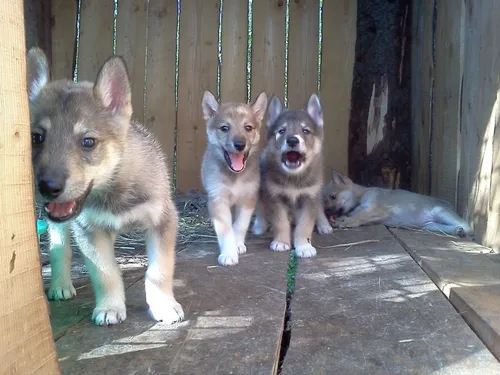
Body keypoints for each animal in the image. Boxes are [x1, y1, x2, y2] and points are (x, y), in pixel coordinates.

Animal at [26, 48, 185, 328]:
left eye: (88, 142)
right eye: (36, 137)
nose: (48, 186)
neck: (114, 190)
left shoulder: (162, 221)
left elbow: (159, 271)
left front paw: (164, 306)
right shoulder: (90, 231)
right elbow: (106, 273)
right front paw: (110, 307)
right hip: (61, 225)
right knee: (59, 248)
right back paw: (59, 285)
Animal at [200, 91, 268, 268]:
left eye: (248, 127)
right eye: (225, 128)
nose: (239, 144)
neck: (234, 177)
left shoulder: (248, 199)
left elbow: (240, 225)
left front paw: (237, 245)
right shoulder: (218, 200)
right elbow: (226, 230)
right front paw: (228, 253)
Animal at [254, 93, 332, 258]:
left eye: (306, 131)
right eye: (281, 131)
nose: (292, 140)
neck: (294, 179)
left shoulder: (309, 197)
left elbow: (305, 225)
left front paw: (304, 246)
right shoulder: (274, 197)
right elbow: (280, 222)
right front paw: (281, 242)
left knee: (319, 208)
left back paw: (324, 225)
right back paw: (260, 225)